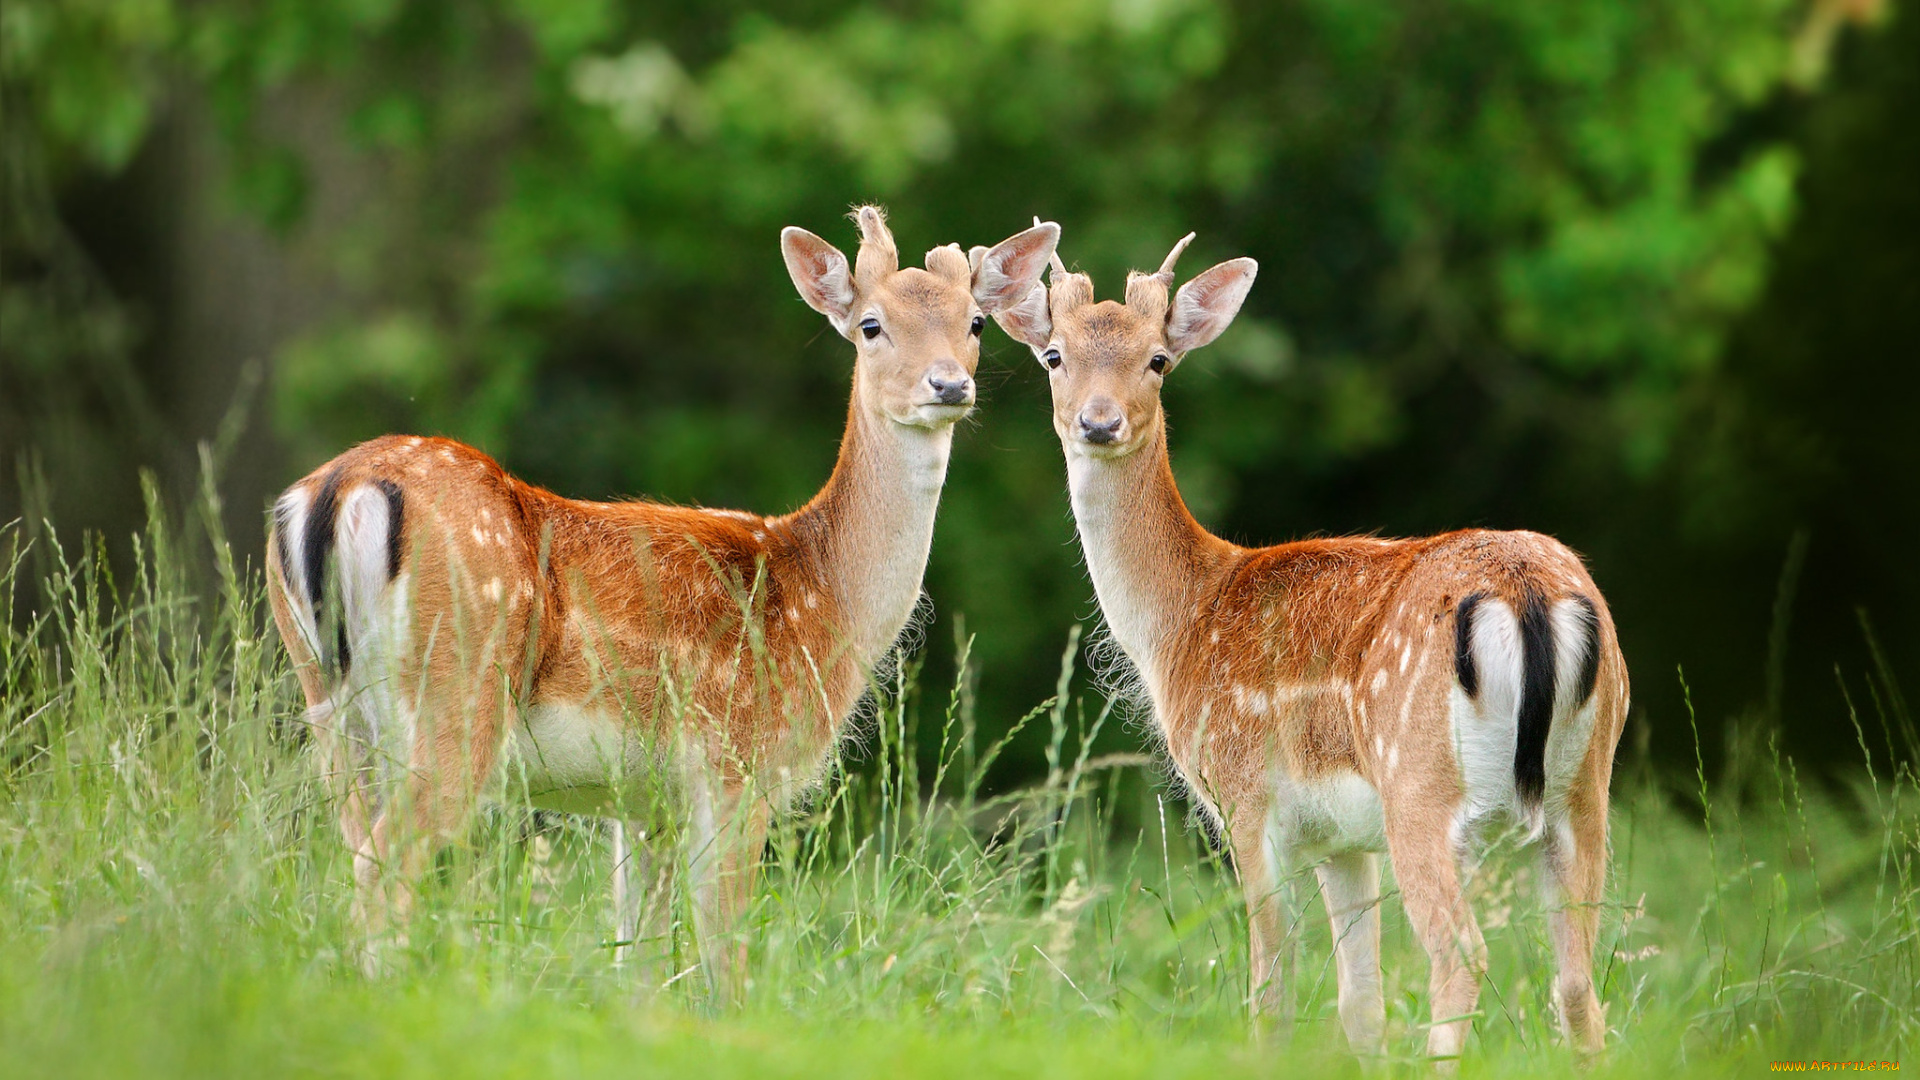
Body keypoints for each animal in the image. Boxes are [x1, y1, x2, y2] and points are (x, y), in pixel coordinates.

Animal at [263, 205, 1059, 999]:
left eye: (975, 322)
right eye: (871, 324)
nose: (948, 385)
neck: (826, 597)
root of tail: (336, 491)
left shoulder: (646, 802)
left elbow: (636, 957)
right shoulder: (737, 763)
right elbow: (724, 957)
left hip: (326, 700)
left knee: (353, 855)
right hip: (455, 693)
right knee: (384, 868)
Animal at [990, 231, 1635, 1053]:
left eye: (1157, 358)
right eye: (1054, 355)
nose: (1099, 422)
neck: (1182, 619)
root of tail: (1525, 592)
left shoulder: (1246, 800)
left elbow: (1271, 993)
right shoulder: (1341, 839)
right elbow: (1360, 1007)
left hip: (1419, 782)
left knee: (1461, 955)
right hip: (1586, 784)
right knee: (1579, 981)